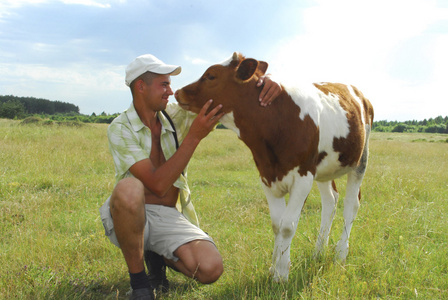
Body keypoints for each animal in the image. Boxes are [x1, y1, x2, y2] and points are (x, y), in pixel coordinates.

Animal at [174, 52, 374, 282]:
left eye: (211, 75)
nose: (177, 92)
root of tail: (357, 92)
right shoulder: (267, 176)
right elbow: (277, 225)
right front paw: (275, 268)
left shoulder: (303, 177)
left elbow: (287, 226)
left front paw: (281, 275)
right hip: (324, 168)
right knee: (330, 201)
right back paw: (319, 251)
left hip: (360, 160)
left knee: (351, 204)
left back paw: (341, 253)